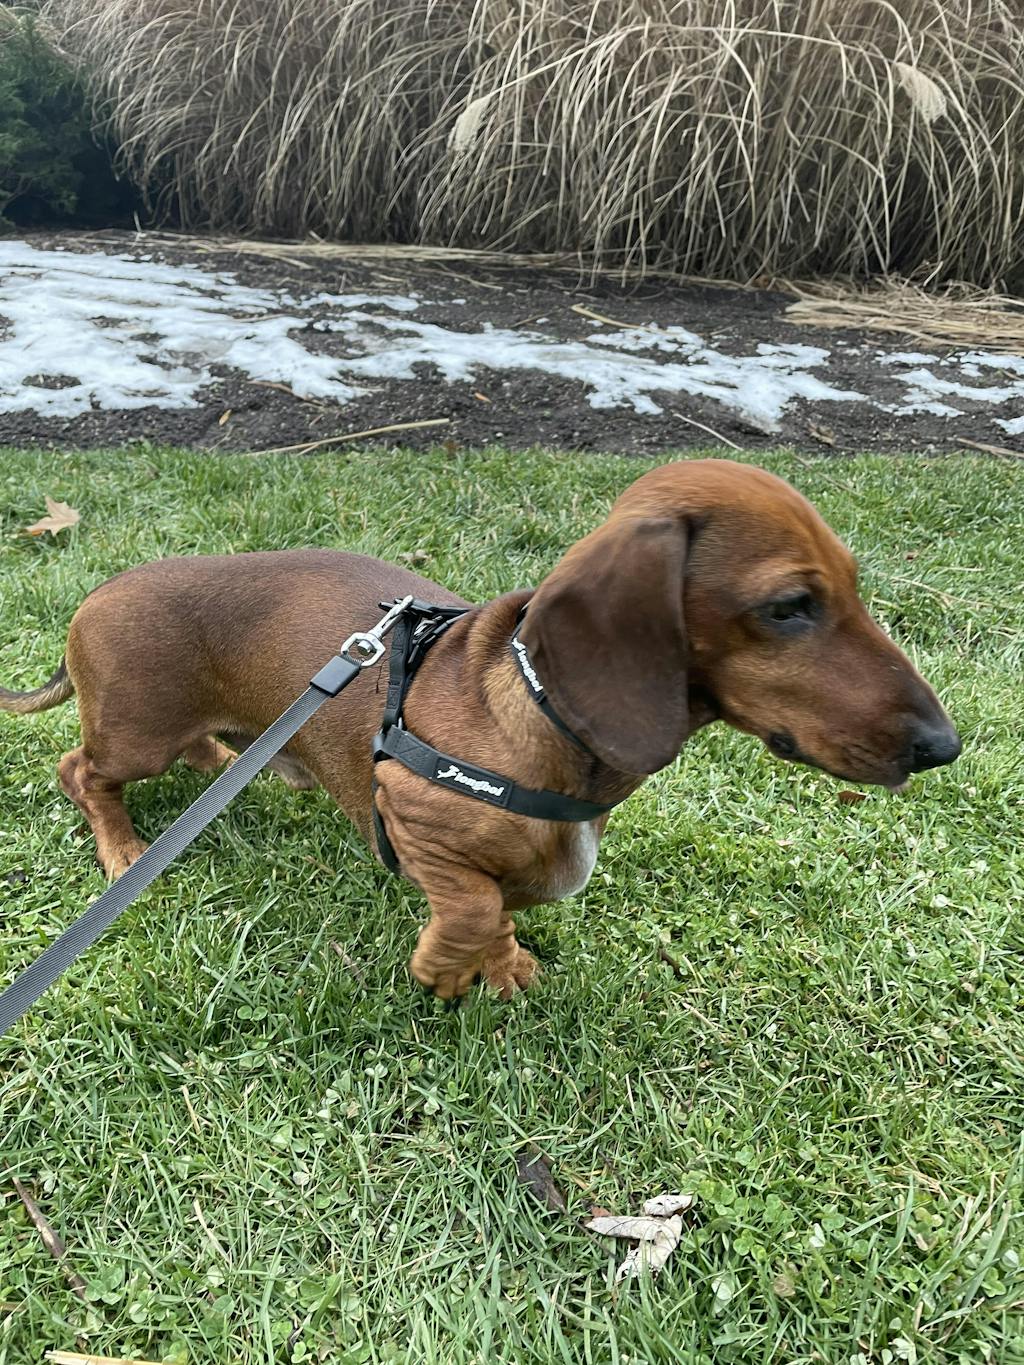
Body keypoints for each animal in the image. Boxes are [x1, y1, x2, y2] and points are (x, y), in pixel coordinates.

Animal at [0, 459, 961, 999]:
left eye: (855, 584)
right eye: (790, 606)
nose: (943, 747)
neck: (533, 710)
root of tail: (95, 593)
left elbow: (500, 911)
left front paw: (500, 970)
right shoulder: (407, 808)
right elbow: (469, 906)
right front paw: (444, 970)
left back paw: (234, 760)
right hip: (134, 735)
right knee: (80, 770)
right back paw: (123, 845)